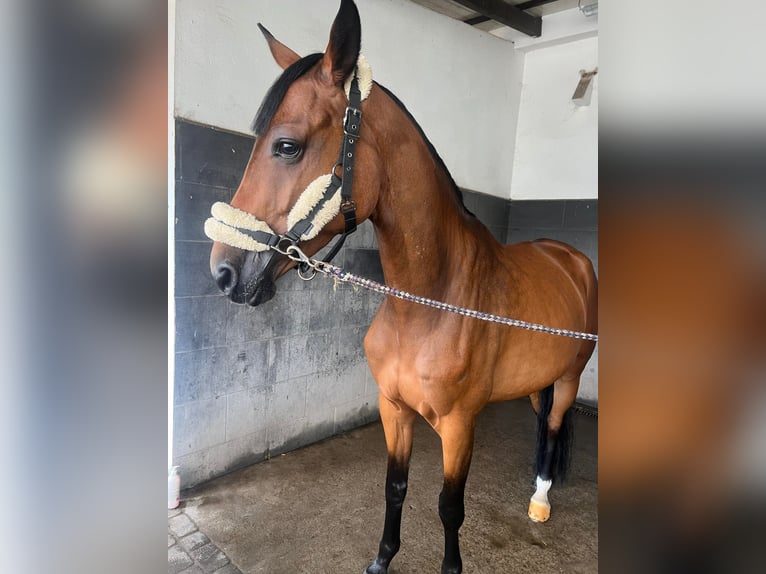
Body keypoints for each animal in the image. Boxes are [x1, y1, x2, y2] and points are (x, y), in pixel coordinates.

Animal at [206, 1, 597, 572]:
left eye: (287, 146)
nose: (224, 273)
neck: (430, 305)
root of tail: (571, 257)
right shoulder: (394, 409)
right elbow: (395, 487)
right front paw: (381, 559)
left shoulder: (459, 426)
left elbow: (450, 506)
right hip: (537, 380)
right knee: (542, 422)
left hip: (569, 377)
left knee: (553, 427)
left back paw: (542, 499)